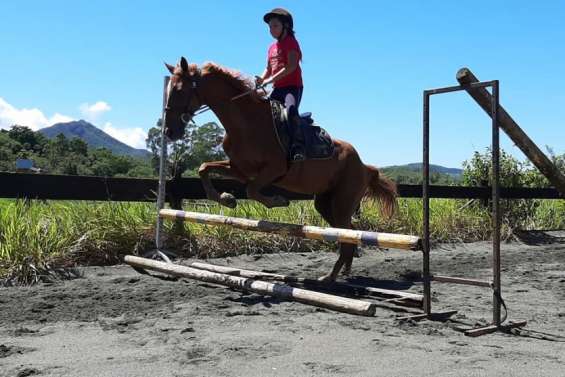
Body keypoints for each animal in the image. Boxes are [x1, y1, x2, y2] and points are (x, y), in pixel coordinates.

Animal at [161, 54, 394, 280]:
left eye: (179, 90)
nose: (169, 132)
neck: (246, 122)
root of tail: (365, 167)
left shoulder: (273, 170)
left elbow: (252, 190)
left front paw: (277, 201)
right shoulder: (239, 169)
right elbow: (204, 168)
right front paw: (227, 199)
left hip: (342, 203)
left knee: (347, 237)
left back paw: (329, 278)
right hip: (327, 203)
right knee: (348, 235)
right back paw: (342, 272)